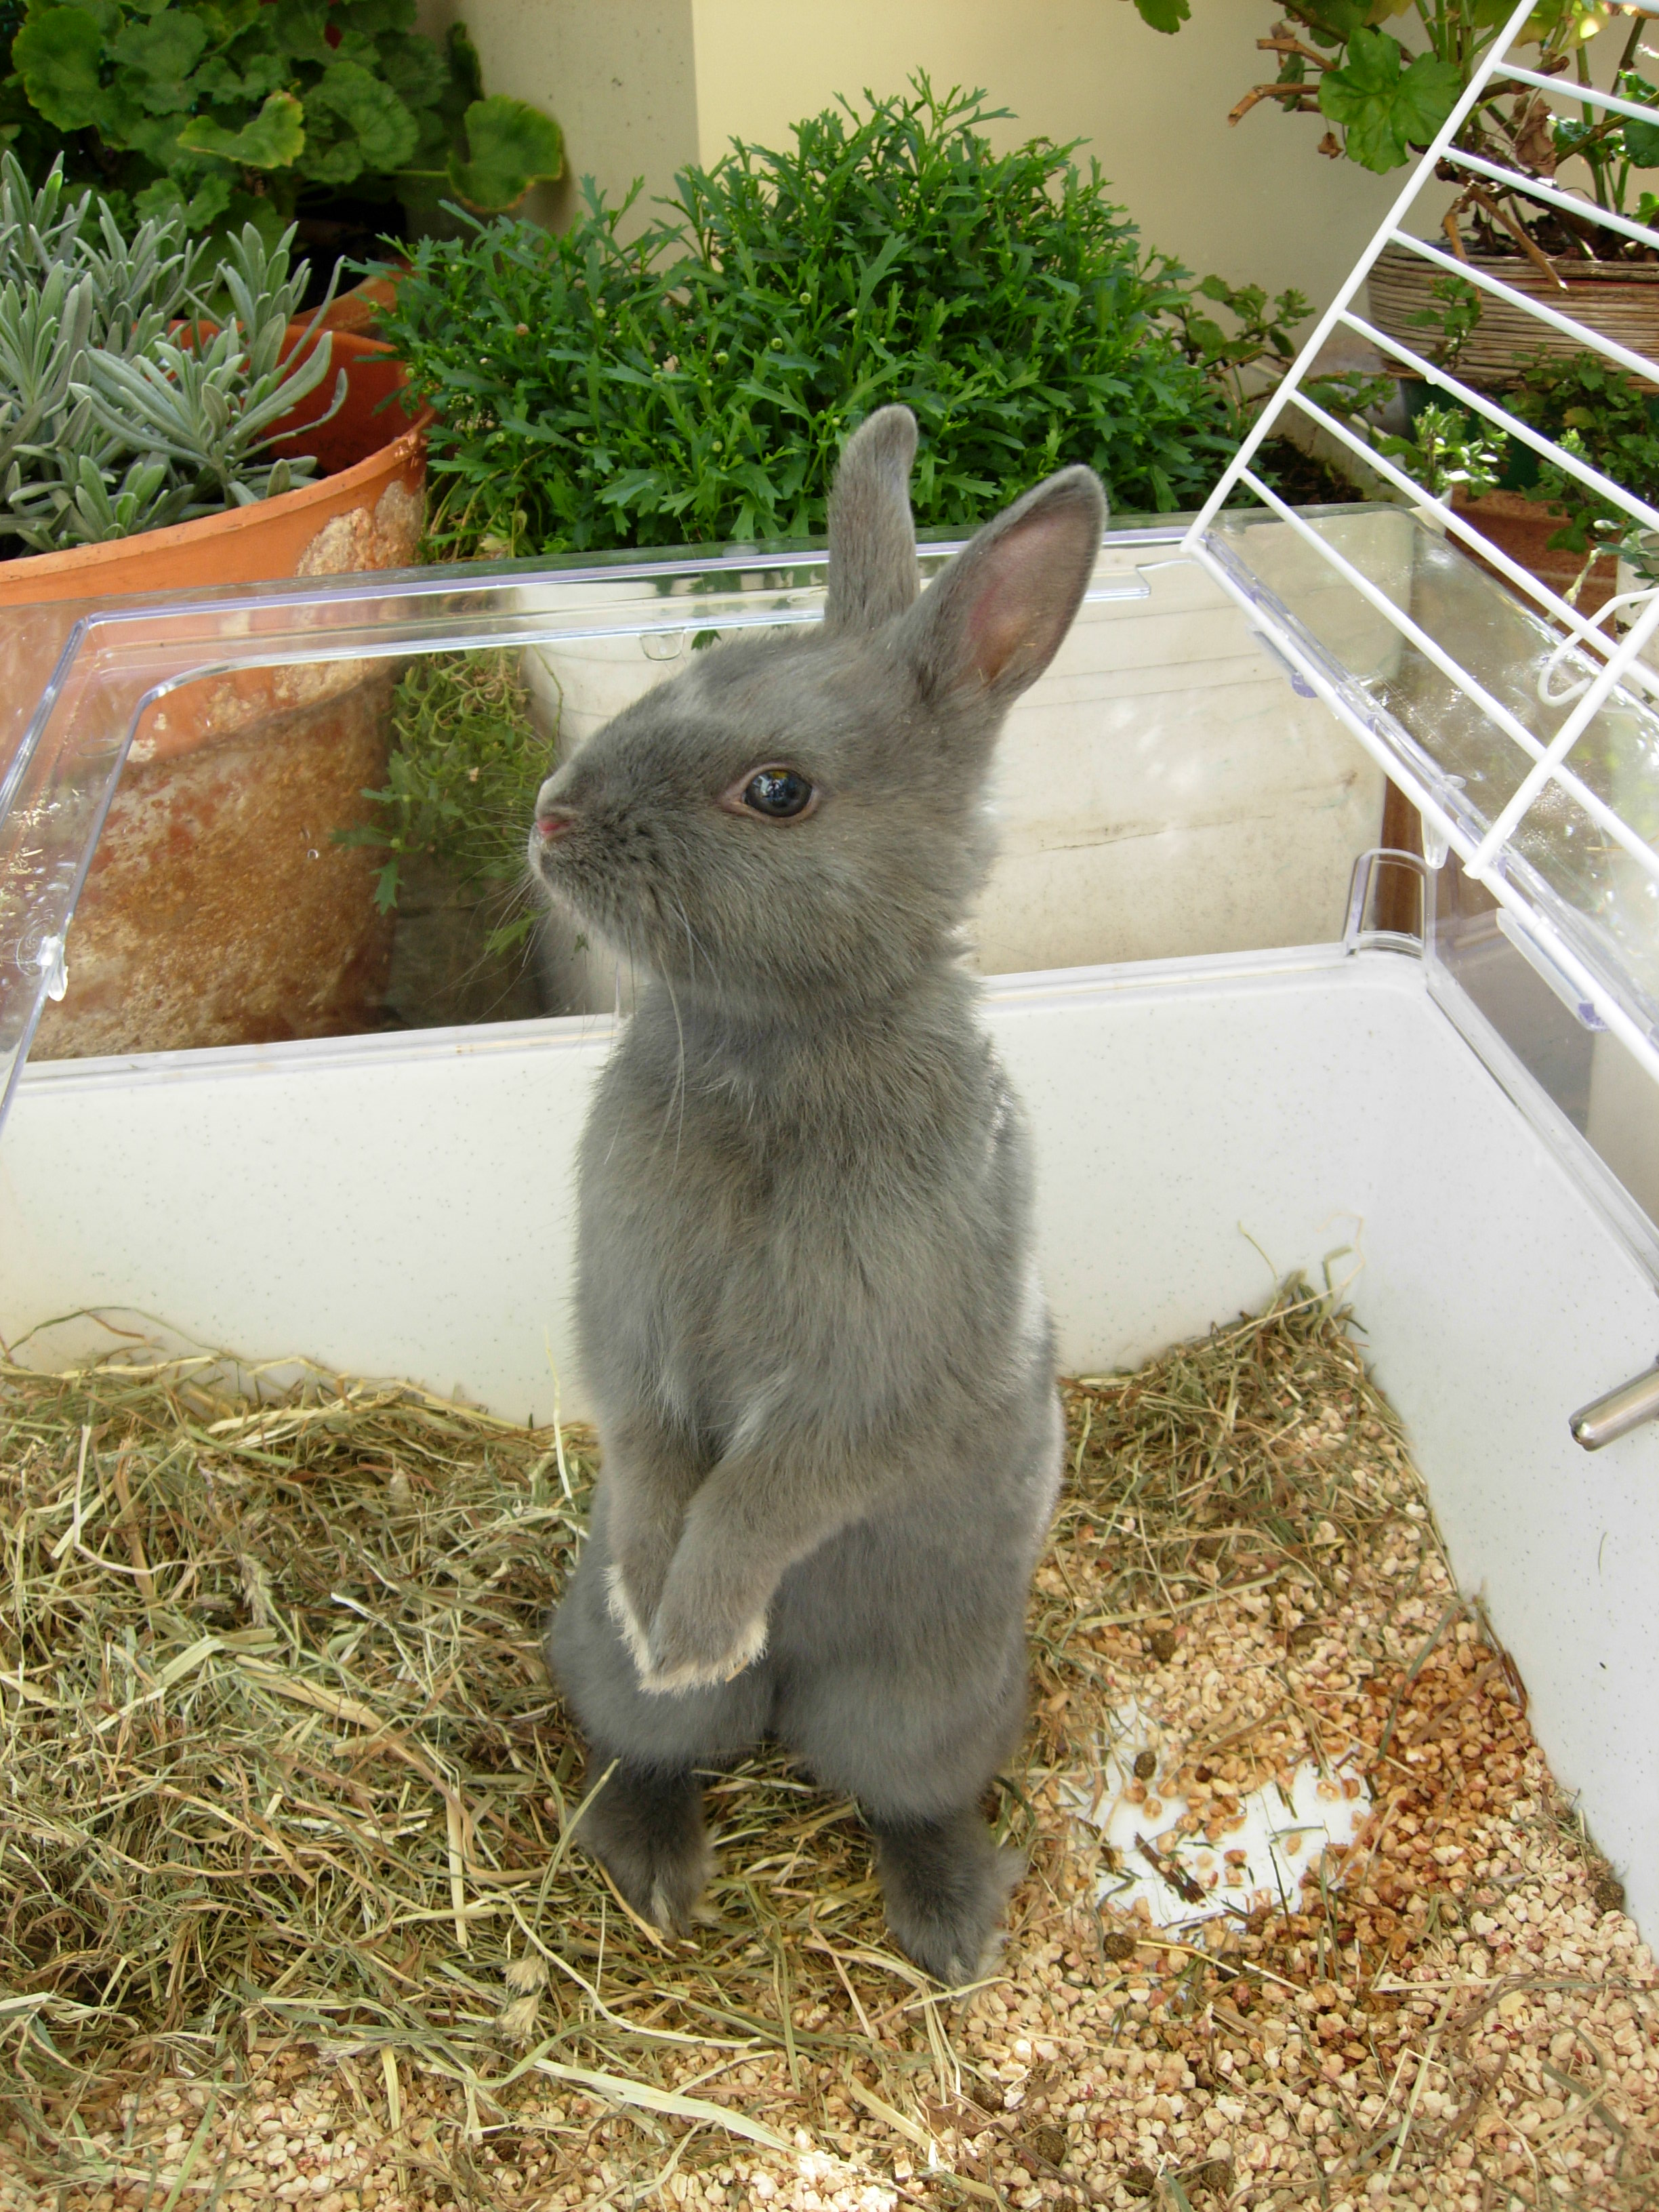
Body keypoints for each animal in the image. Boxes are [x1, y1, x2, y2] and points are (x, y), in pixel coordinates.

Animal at [530, 404, 1107, 1982]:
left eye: (778, 790)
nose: (550, 818)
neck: (777, 1051)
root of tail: (796, 1702)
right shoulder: (630, 1322)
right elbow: (653, 1448)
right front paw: (664, 1614)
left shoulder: (867, 1376)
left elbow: (768, 1489)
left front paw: (699, 1621)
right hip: (615, 1675)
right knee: (651, 1741)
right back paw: (656, 1857)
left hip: (926, 1699)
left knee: (904, 1794)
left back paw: (950, 1926)